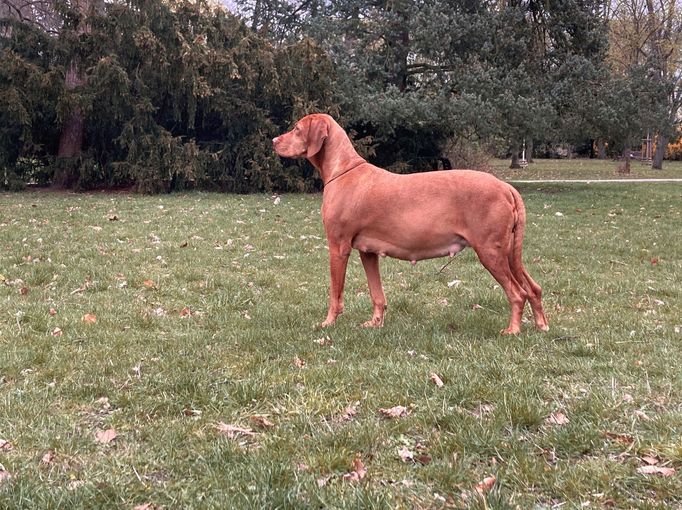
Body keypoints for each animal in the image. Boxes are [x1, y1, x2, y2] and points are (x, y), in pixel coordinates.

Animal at [272, 113, 548, 332]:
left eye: (296, 129)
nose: (273, 141)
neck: (344, 170)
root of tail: (505, 186)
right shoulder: (367, 252)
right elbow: (377, 294)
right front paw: (375, 323)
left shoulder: (338, 247)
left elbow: (335, 293)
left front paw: (328, 323)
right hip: (508, 252)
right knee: (533, 288)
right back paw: (541, 325)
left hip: (490, 251)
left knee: (518, 293)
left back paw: (513, 330)